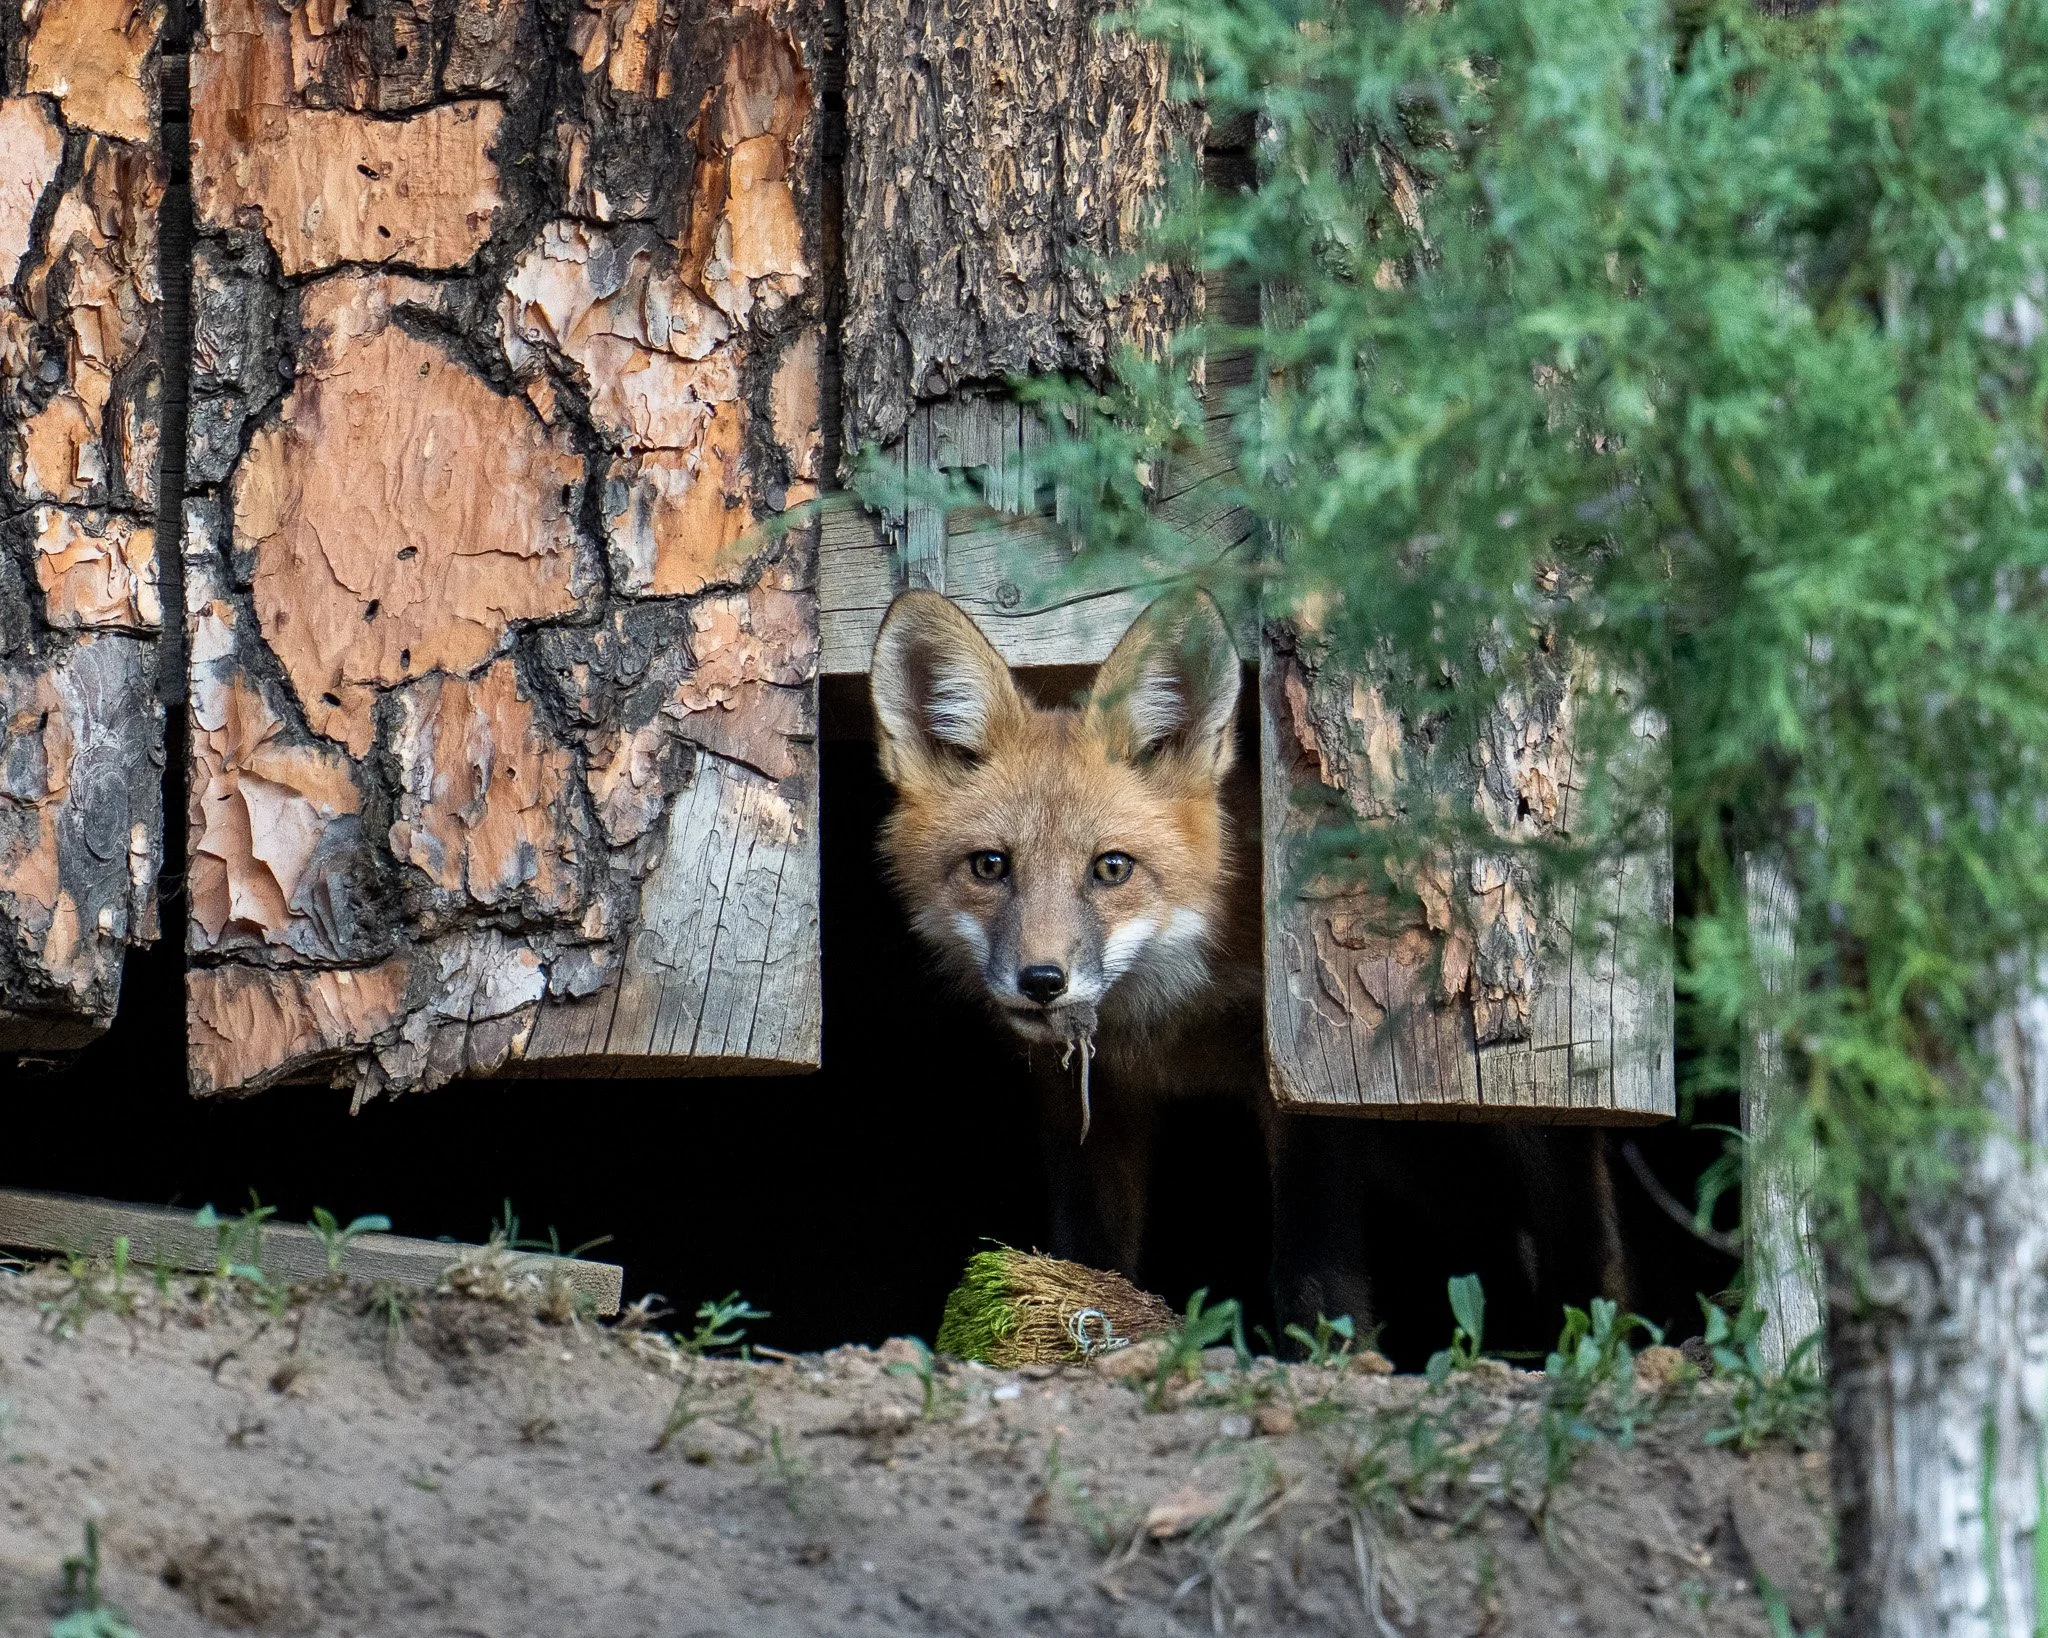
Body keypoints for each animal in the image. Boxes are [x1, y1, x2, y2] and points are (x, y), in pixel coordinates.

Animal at [870, 588, 1633, 1345]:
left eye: (1111, 868)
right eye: (990, 866)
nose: (1042, 982)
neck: (1170, 1018)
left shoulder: (1307, 1080)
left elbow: (1314, 1265)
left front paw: (1329, 1350)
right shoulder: (1086, 1100)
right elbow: (1090, 1251)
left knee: (1580, 1234)